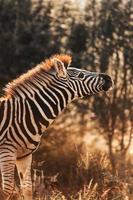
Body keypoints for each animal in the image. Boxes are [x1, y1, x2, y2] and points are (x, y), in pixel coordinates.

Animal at [0, 54, 112, 199]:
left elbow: (28, 189)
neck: (23, 114)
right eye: (81, 75)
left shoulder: (24, 155)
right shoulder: (7, 151)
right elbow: (7, 189)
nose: (108, 78)